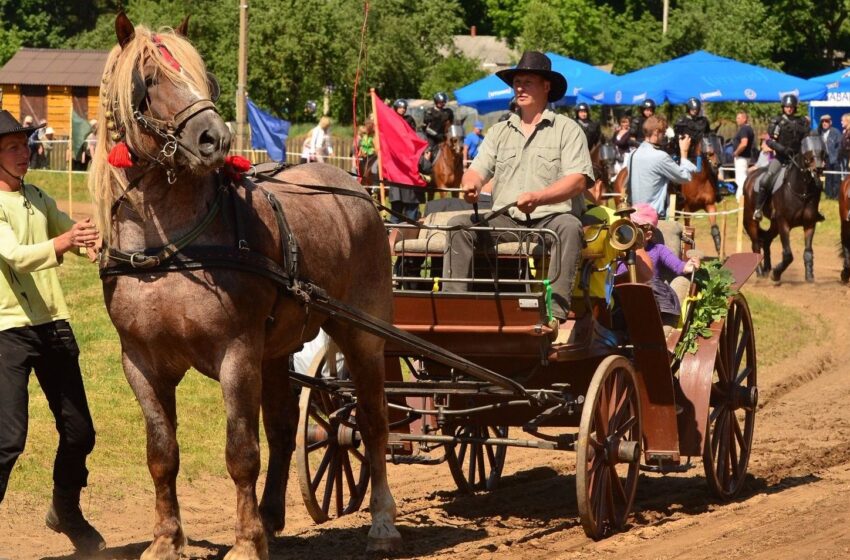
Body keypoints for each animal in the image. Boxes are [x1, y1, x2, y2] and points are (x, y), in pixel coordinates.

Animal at [89, 12, 400, 556]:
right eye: (147, 82)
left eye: (205, 78)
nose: (214, 138)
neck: (168, 251)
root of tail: (356, 188)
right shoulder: (140, 361)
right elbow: (161, 453)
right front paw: (166, 539)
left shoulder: (235, 353)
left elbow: (240, 452)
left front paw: (246, 541)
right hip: (275, 351)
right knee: (282, 427)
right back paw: (271, 515)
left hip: (362, 335)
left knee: (373, 422)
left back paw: (381, 522)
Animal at [740, 136, 824, 284]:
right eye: (807, 152)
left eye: (822, 150)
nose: (818, 168)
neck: (801, 191)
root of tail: (750, 176)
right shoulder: (784, 223)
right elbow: (788, 254)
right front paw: (776, 274)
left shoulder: (809, 224)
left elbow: (808, 251)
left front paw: (809, 277)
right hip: (751, 219)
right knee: (756, 244)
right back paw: (760, 273)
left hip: (774, 224)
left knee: (766, 241)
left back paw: (767, 269)